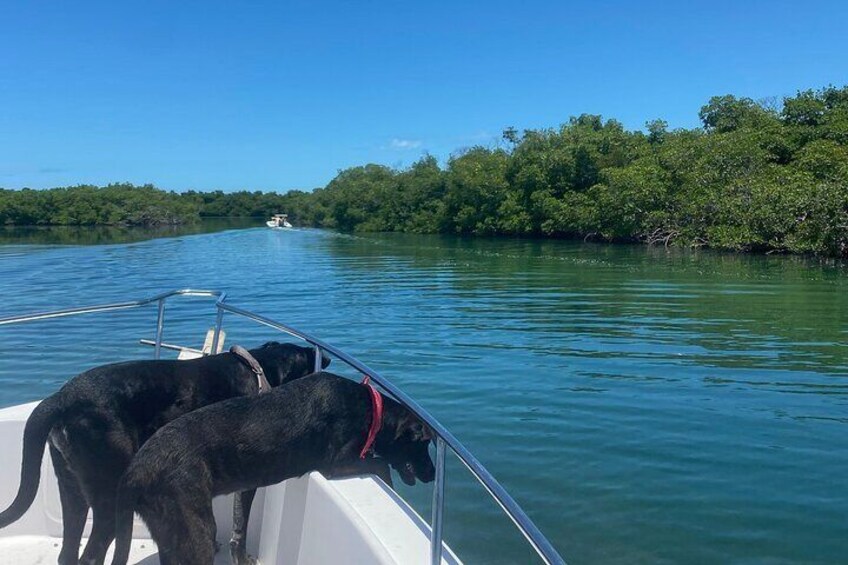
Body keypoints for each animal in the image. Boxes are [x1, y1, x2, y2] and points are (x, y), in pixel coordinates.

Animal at [0, 340, 328, 564]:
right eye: (309, 359)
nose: (325, 359)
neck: (257, 369)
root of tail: (61, 399)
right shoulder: (248, 481)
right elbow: (240, 528)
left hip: (72, 491)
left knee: (68, 551)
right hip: (107, 499)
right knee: (91, 555)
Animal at [109, 370, 434, 564]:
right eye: (424, 444)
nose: (432, 475)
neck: (372, 409)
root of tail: (134, 471)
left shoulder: (246, 486)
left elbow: (239, 533)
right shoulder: (337, 462)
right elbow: (381, 465)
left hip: (169, 529)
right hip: (196, 527)